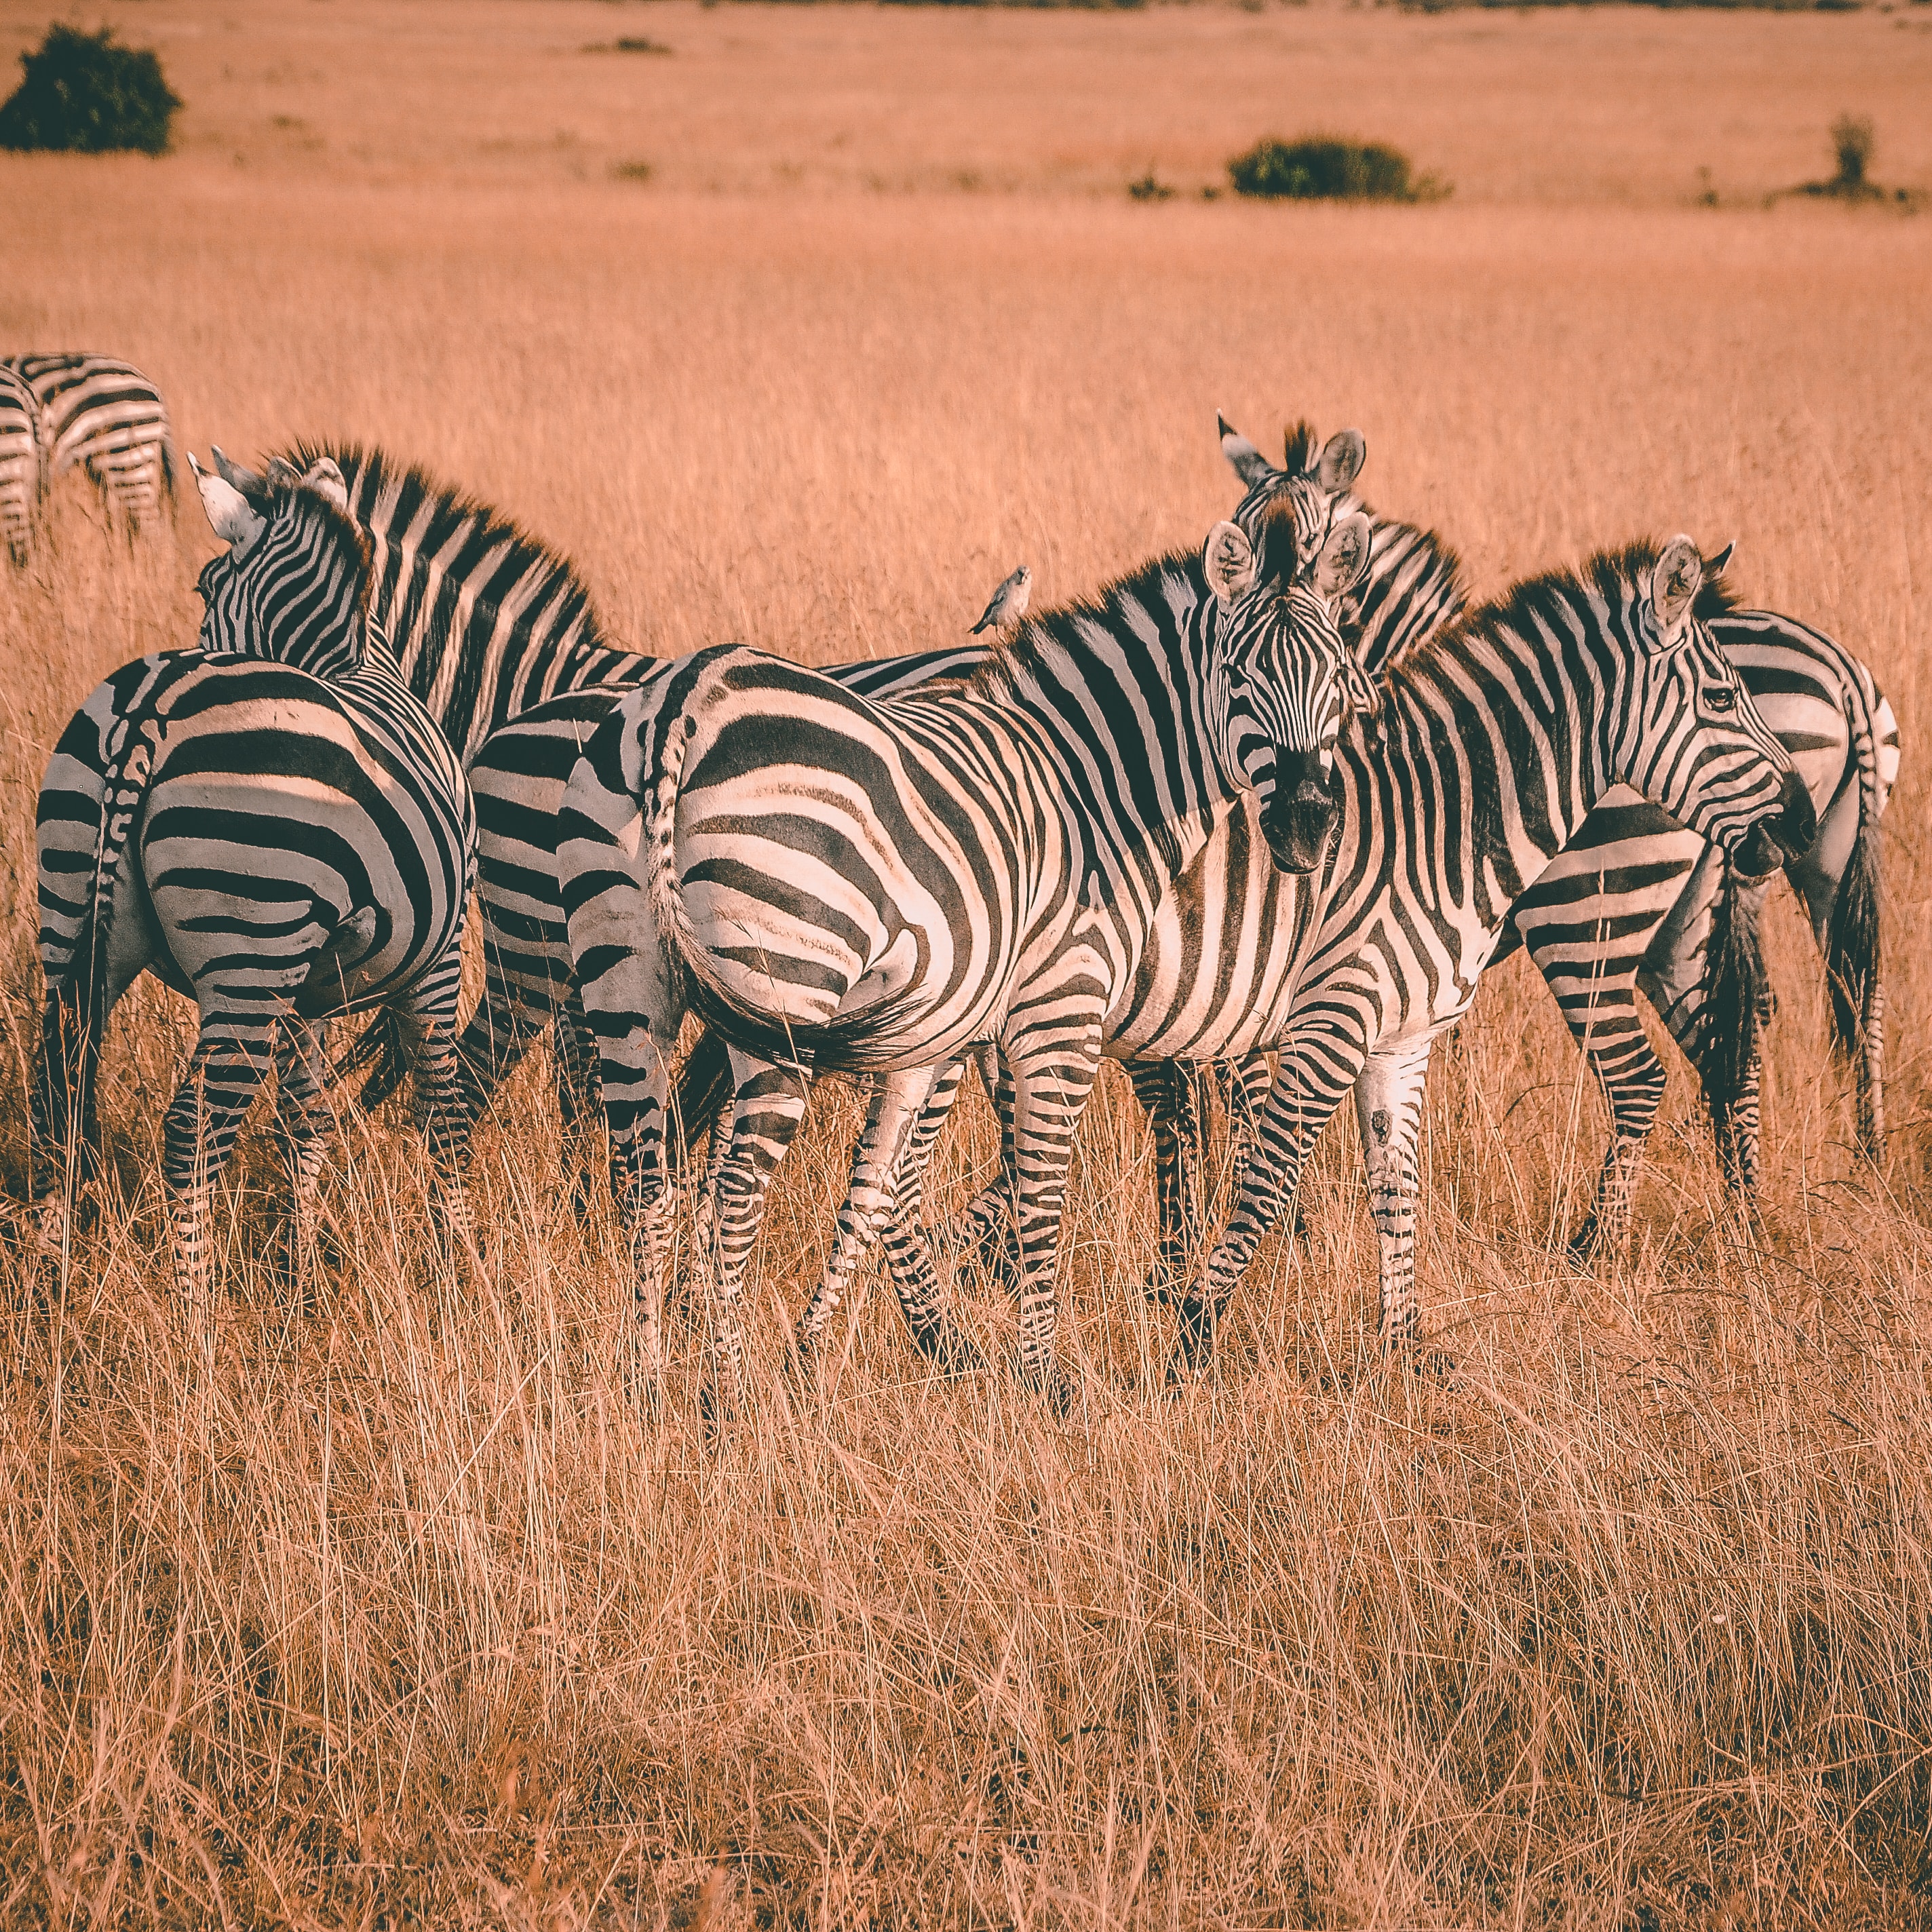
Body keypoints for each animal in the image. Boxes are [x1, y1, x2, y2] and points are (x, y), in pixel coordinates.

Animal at [33, 456, 475, 1329]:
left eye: (205, 587)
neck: (355, 662)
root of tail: (156, 703)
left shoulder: (311, 986)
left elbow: (305, 1119)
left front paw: (300, 1280)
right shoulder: (437, 960)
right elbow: (441, 1105)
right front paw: (454, 1272)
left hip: (76, 916)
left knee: (56, 1097)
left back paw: (56, 1293)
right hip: (249, 950)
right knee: (191, 1134)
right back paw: (196, 1327)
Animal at [556, 475, 1375, 1414]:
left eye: (1337, 678)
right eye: (1239, 676)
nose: (1308, 827)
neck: (1092, 790)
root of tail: (685, 696)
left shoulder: (940, 1033)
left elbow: (880, 1185)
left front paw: (847, 1348)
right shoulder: (1060, 1008)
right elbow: (1042, 1190)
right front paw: (1046, 1378)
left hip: (626, 985)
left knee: (645, 1185)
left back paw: (649, 1386)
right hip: (785, 983)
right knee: (731, 1199)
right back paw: (727, 1406)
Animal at [1151, 533, 1816, 1375]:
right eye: (1722, 700)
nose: (1801, 823)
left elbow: (1216, 1127)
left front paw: (1196, 1284)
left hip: (1590, 927)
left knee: (1646, 1076)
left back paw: (1600, 1250)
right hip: (1663, 940)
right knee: (1723, 1058)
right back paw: (1738, 1231)